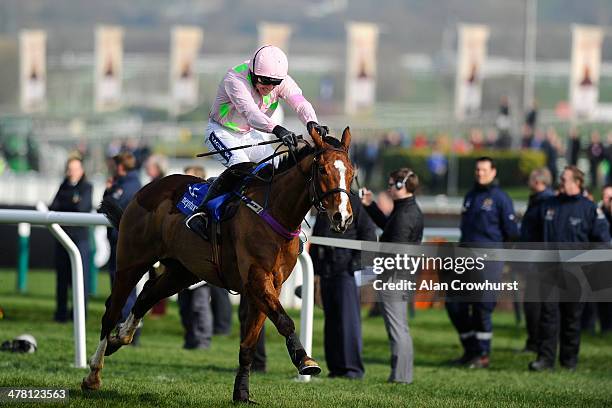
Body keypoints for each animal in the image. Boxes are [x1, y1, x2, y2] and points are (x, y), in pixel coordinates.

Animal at [80, 126, 354, 402]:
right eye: (323, 170)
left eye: (351, 173)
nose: (342, 217)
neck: (274, 211)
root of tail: (148, 188)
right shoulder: (258, 278)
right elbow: (284, 321)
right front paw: (305, 360)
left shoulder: (268, 285)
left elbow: (249, 343)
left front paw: (242, 393)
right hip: (131, 262)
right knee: (111, 312)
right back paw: (93, 374)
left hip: (182, 272)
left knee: (147, 295)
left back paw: (120, 338)